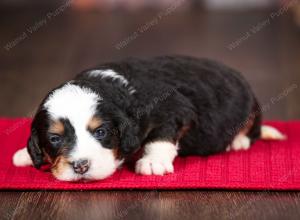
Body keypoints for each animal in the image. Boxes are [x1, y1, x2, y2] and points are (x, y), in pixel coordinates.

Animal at [12, 55, 286, 181]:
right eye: (54, 138)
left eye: (101, 132)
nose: (80, 166)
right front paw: (26, 154)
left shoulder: (175, 108)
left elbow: (161, 136)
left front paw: (153, 162)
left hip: (250, 107)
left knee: (252, 130)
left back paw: (238, 141)